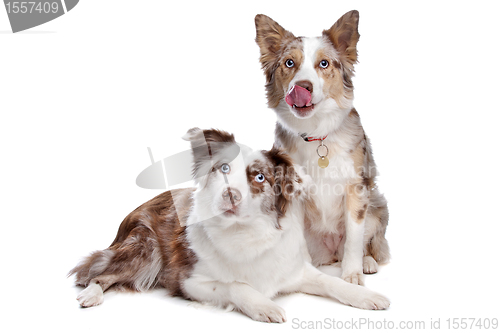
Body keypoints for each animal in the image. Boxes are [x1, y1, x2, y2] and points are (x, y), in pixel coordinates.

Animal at [69, 127, 390, 322]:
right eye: (223, 168)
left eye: (259, 177)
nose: (230, 194)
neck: (246, 233)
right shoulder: (187, 280)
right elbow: (236, 285)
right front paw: (264, 305)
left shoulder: (296, 271)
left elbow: (333, 283)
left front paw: (366, 296)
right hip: (145, 251)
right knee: (97, 273)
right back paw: (90, 294)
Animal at [256, 11, 392, 284]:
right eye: (289, 63)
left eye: (324, 64)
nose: (302, 87)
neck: (316, 135)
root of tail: (331, 253)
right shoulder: (291, 191)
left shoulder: (356, 188)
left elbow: (354, 238)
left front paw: (352, 274)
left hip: (377, 206)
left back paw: (367, 262)